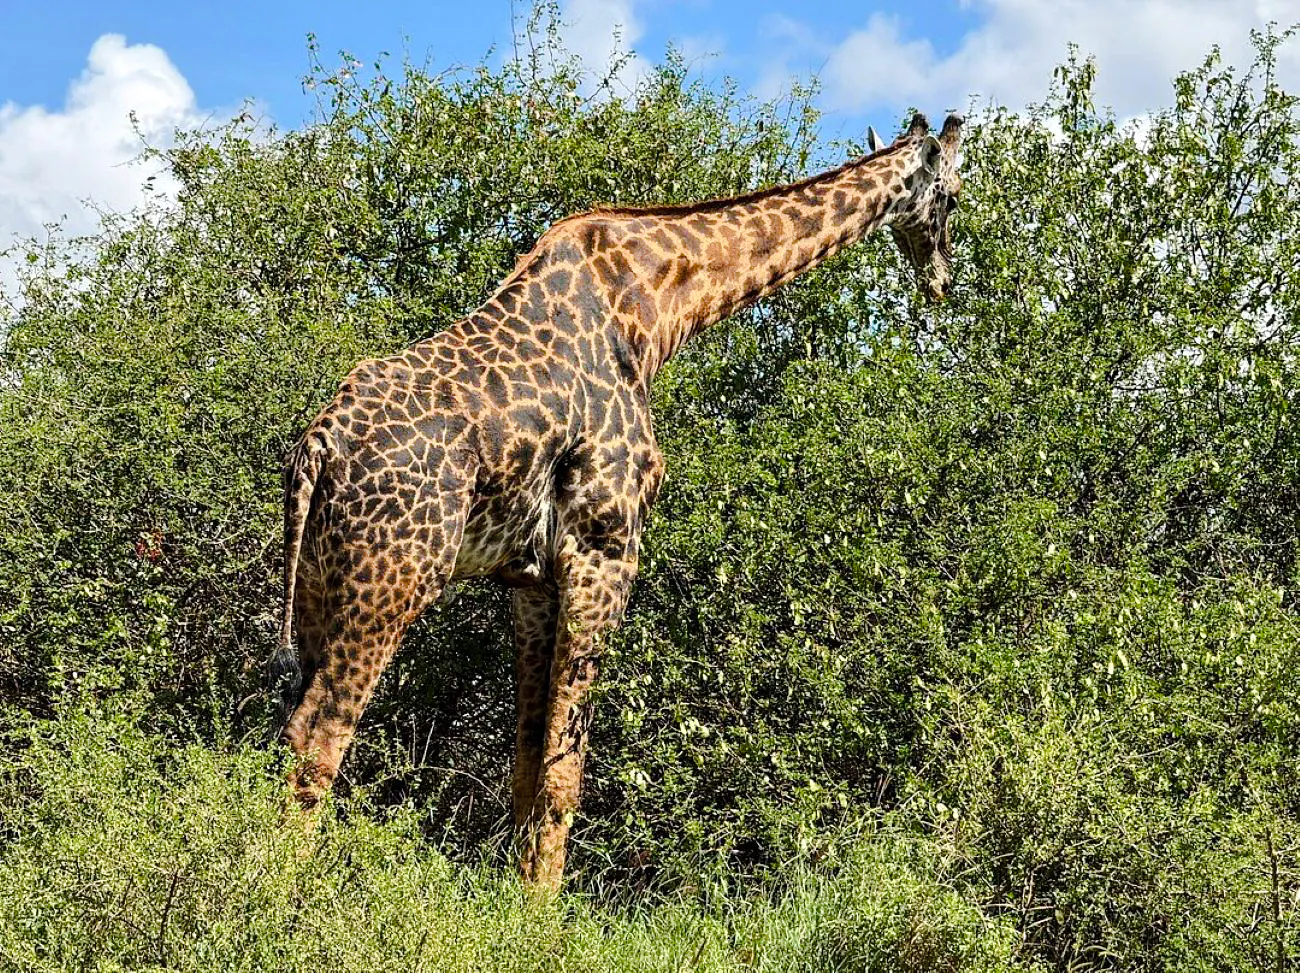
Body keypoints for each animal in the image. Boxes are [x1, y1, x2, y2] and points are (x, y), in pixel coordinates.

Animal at [273, 111, 965, 890]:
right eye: (952, 197)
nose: (941, 279)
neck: (662, 304)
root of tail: (320, 446)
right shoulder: (604, 547)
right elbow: (566, 772)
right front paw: (541, 907)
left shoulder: (529, 579)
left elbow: (527, 761)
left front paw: (512, 892)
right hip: (394, 578)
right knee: (320, 734)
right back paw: (280, 889)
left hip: (319, 583)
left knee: (287, 729)